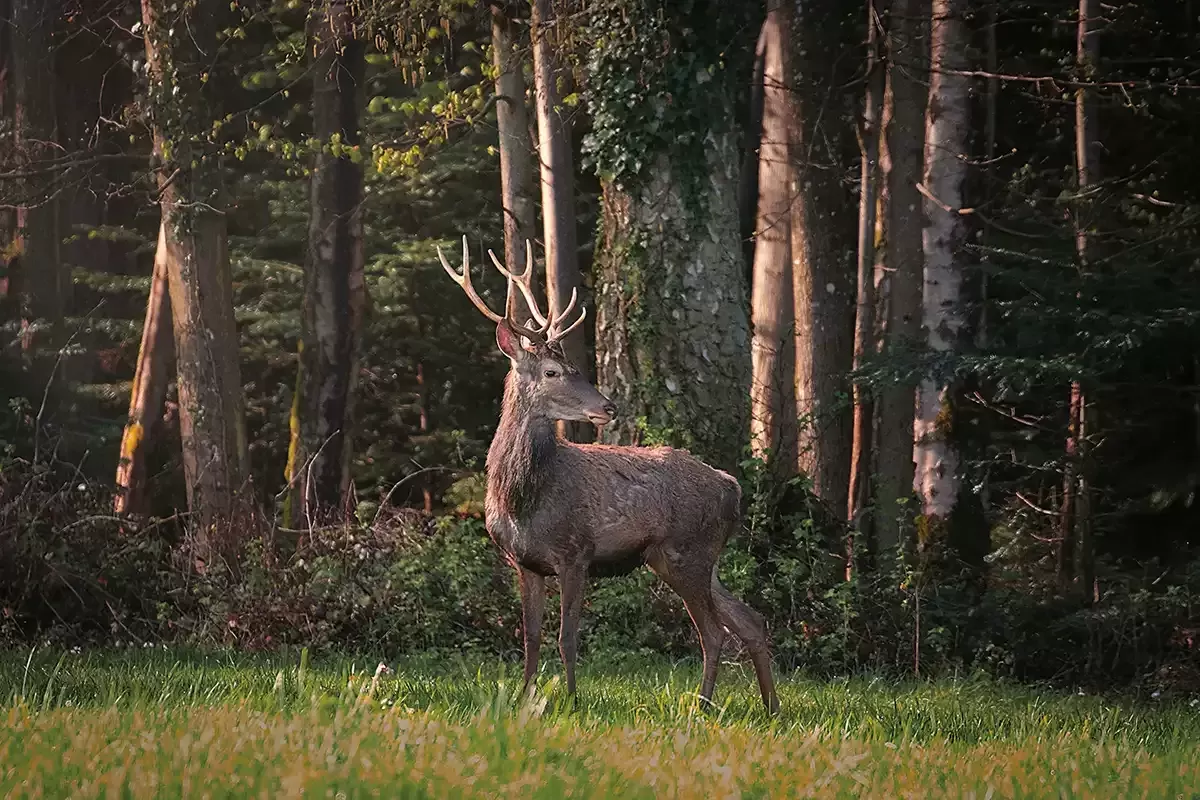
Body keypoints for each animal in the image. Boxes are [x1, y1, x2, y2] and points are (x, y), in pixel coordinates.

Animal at [436, 236, 782, 714]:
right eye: (552, 371)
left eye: (576, 368)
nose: (608, 407)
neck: (522, 498)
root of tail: (732, 486)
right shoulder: (523, 562)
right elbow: (530, 638)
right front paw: (524, 699)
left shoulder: (575, 552)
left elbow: (567, 637)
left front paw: (571, 699)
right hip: (690, 558)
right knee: (750, 620)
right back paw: (771, 708)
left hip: (687, 551)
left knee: (714, 633)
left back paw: (701, 705)